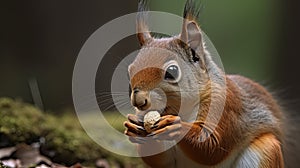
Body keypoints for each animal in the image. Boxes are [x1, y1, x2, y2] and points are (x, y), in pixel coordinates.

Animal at [124, 0, 286, 167]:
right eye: (130, 70)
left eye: (172, 71)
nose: (139, 101)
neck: (180, 110)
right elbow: (159, 160)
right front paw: (135, 129)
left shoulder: (224, 105)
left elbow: (212, 147)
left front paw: (175, 127)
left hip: (266, 150)